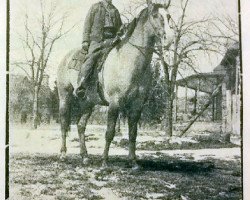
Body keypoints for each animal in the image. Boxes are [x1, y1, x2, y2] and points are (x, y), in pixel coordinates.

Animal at [57, 3, 170, 169]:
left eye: (168, 16)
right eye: (155, 15)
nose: (169, 39)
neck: (128, 60)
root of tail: (66, 57)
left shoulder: (137, 105)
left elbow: (133, 133)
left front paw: (133, 162)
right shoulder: (115, 103)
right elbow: (109, 132)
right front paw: (104, 161)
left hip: (88, 102)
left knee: (80, 126)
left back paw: (85, 157)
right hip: (65, 96)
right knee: (64, 124)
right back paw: (63, 155)